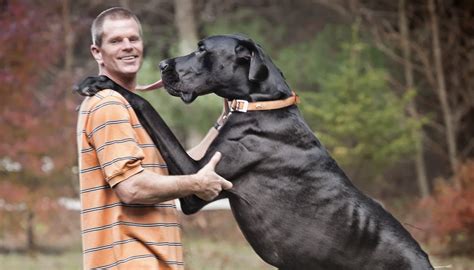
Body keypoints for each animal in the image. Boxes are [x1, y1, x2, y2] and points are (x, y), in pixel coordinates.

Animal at [77, 34, 434, 270]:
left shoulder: (198, 179)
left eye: (203, 49)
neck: (261, 104)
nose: (164, 64)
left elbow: (147, 106)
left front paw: (104, 82)